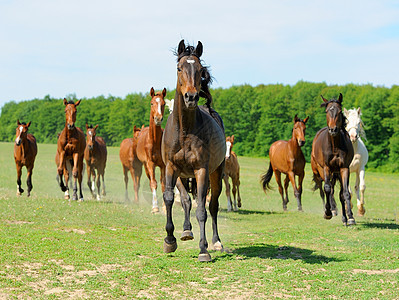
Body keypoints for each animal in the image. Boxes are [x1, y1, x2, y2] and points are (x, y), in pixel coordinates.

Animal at [161, 38, 227, 262]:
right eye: (179, 68)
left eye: (199, 70)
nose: (191, 97)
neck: (185, 131)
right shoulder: (171, 168)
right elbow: (171, 198)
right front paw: (170, 240)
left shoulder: (201, 170)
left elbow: (202, 211)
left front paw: (203, 250)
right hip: (182, 175)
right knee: (187, 201)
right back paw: (186, 231)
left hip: (215, 173)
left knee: (212, 205)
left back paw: (215, 242)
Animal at [312, 94, 356, 225]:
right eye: (327, 111)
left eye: (340, 111)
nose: (333, 129)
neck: (335, 146)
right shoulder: (326, 168)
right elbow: (327, 189)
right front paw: (327, 213)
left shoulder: (344, 168)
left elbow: (345, 193)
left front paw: (350, 218)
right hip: (321, 171)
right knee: (326, 190)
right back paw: (331, 210)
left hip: (337, 173)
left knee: (340, 193)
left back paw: (344, 218)